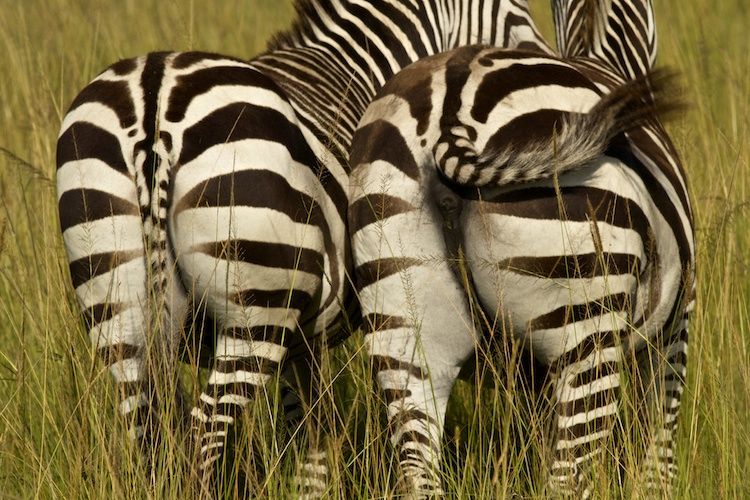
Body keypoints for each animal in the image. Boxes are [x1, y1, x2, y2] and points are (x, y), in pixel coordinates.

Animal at [55, 0, 556, 492]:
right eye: (521, 35)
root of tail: (154, 98)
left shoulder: (304, 341)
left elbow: (306, 438)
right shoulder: (308, 329)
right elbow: (312, 438)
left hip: (115, 306)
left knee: (149, 436)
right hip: (254, 309)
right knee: (202, 435)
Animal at [350, 2, 696, 496]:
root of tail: (451, 111)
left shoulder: (529, 373)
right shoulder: (675, 329)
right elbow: (658, 452)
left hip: (404, 330)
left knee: (419, 469)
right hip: (585, 328)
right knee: (567, 478)